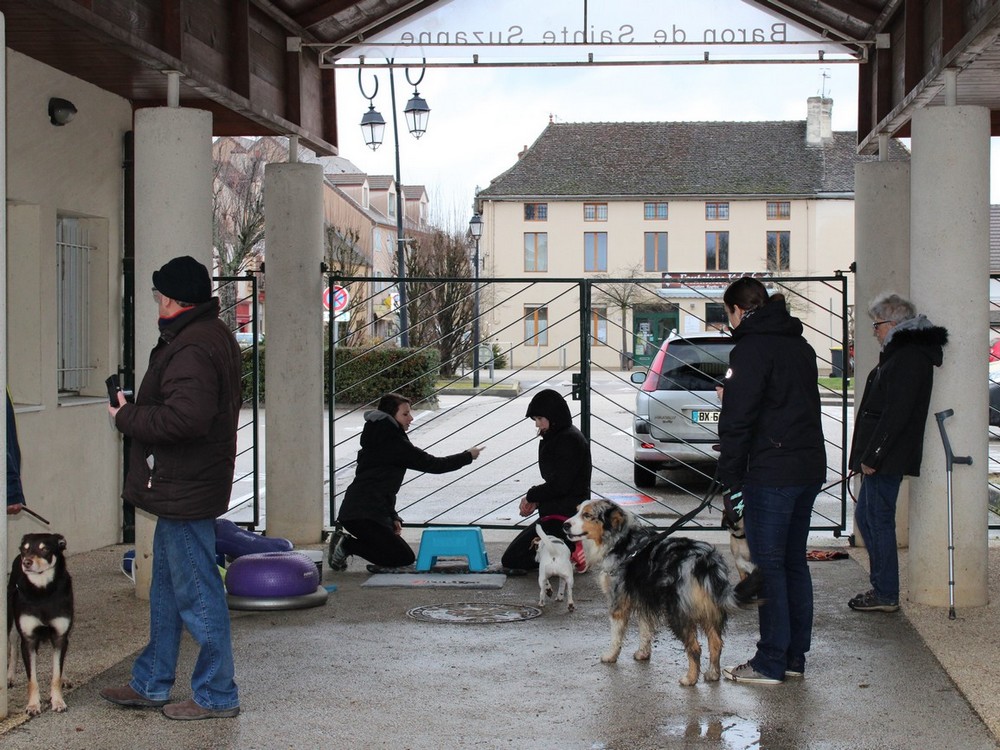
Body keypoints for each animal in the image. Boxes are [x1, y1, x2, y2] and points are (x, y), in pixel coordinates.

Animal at [7, 532, 74, 712]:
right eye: (25, 549)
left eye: (45, 549)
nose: (26, 562)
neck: (43, 591)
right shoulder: (28, 639)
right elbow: (32, 679)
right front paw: (32, 705)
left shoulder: (59, 636)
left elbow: (56, 673)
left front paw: (58, 701)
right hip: (12, 625)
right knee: (13, 649)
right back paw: (9, 676)